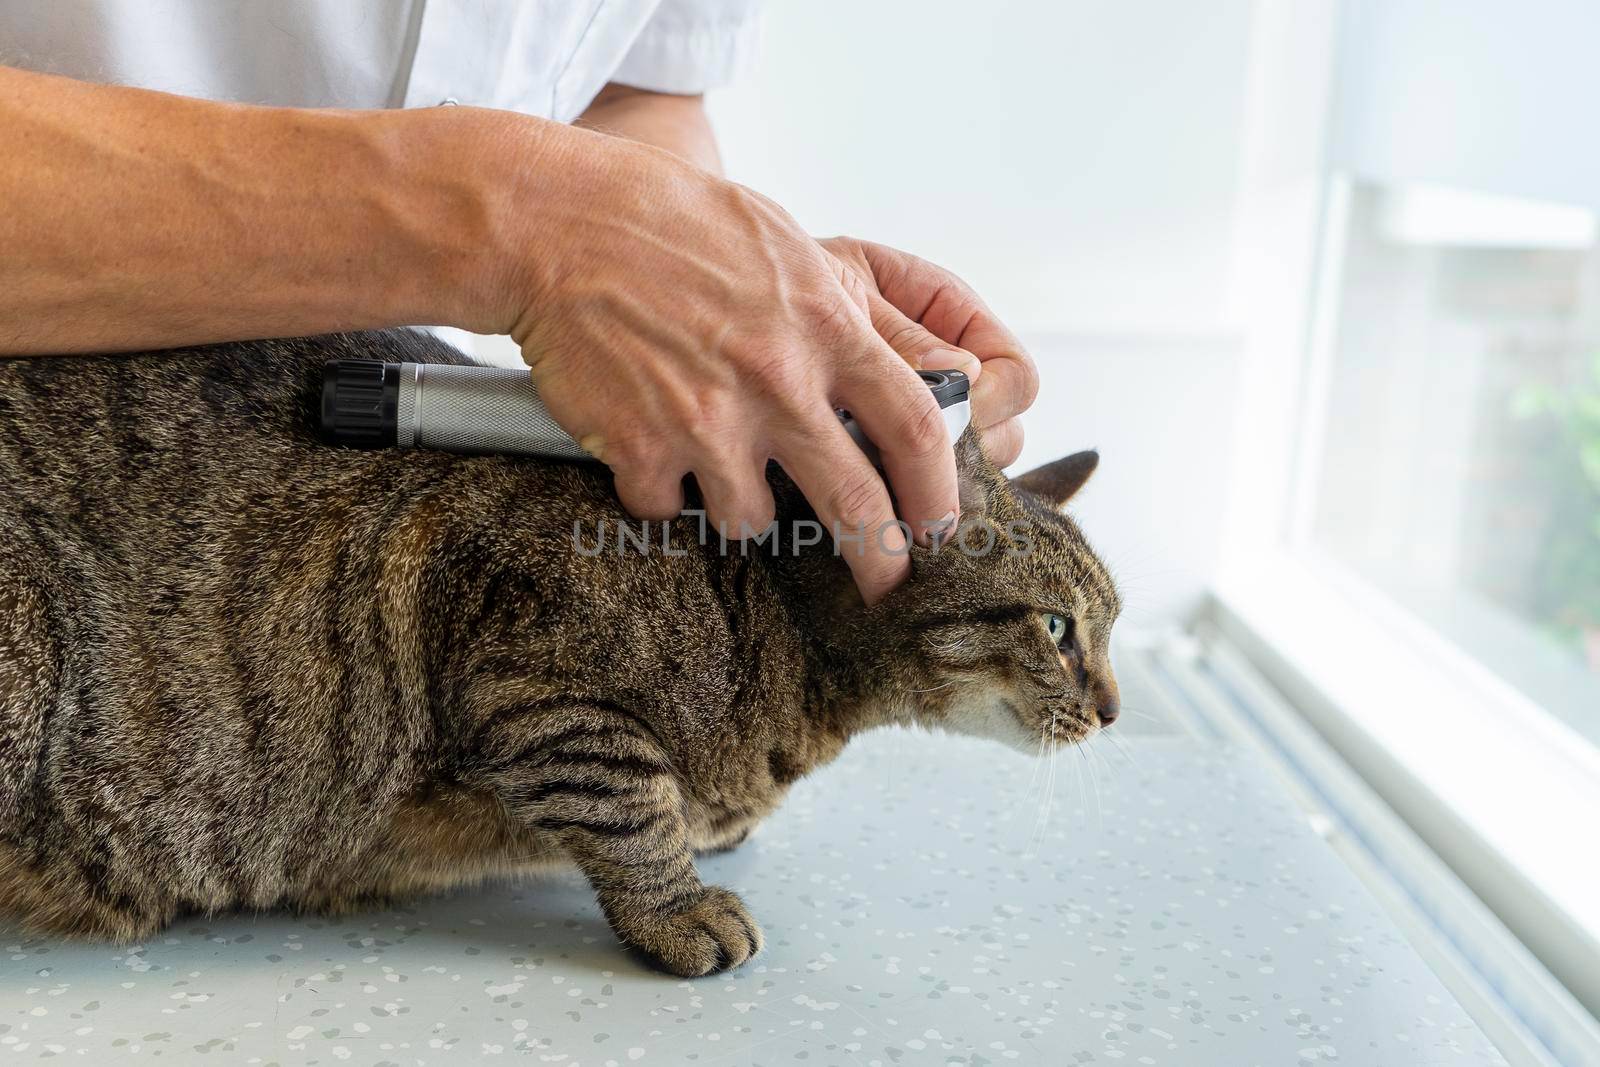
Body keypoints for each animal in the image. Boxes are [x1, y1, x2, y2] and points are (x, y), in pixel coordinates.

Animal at [0, 329, 1120, 979]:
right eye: (1059, 628)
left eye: (1107, 627)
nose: (1113, 709)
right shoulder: (521, 659)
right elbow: (632, 800)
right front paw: (678, 904)